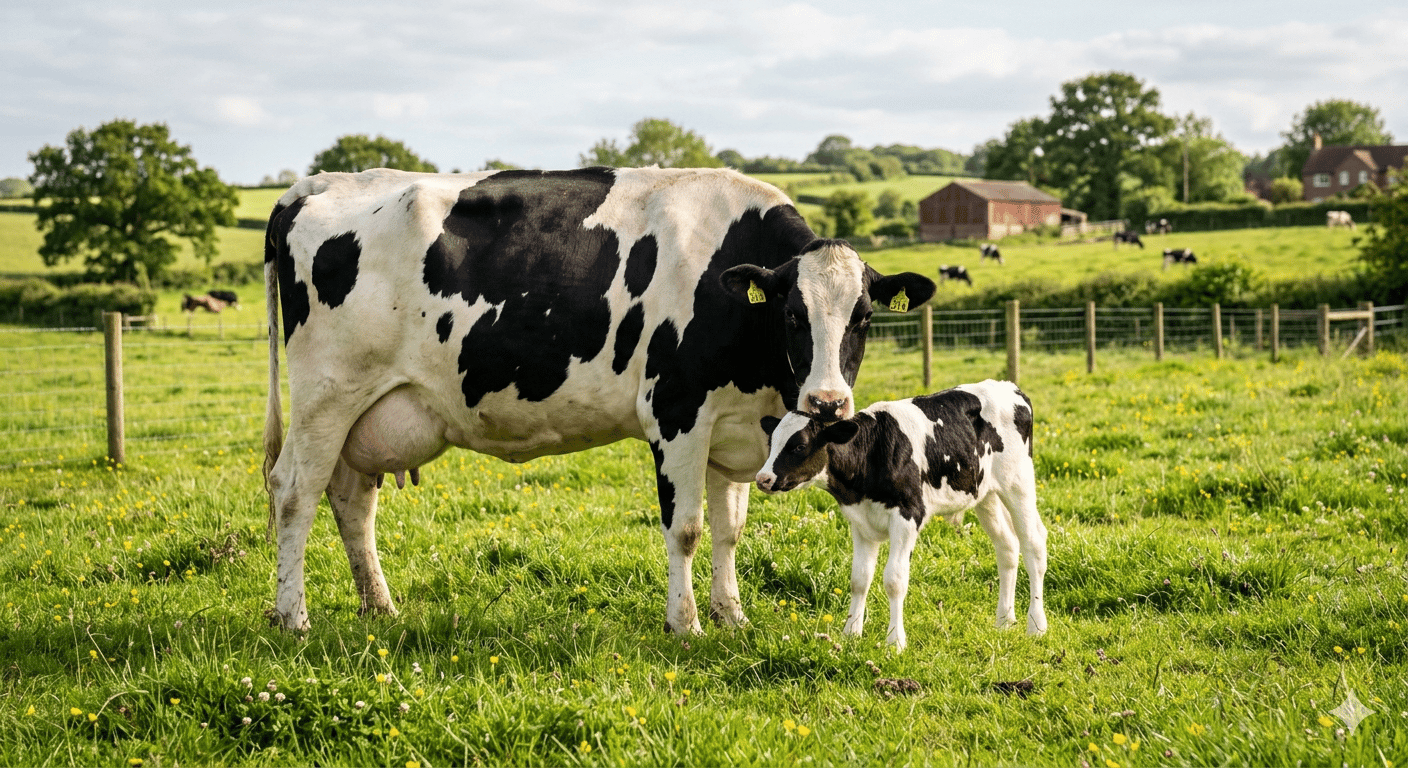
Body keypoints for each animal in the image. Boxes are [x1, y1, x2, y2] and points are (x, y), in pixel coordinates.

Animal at [261, 167, 936, 634]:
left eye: (865, 316)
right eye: (793, 315)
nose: (828, 403)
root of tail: (315, 184)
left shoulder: (735, 425)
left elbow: (729, 530)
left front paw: (732, 616)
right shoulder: (676, 414)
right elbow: (687, 528)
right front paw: (686, 624)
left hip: (367, 413)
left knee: (351, 499)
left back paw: (379, 607)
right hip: (327, 396)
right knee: (294, 491)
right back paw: (293, 618)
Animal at [754, 380, 1048, 651]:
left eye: (799, 446)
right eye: (772, 442)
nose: (763, 478)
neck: (871, 453)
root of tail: (1009, 387)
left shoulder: (908, 515)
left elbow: (894, 580)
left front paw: (895, 641)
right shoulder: (860, 522)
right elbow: (859, 579)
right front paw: (850, 634)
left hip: (1018, 483)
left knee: (1033, 545)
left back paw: (1036, 625)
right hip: (985, 495)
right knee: (1007, 546)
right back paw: (1004, 621)